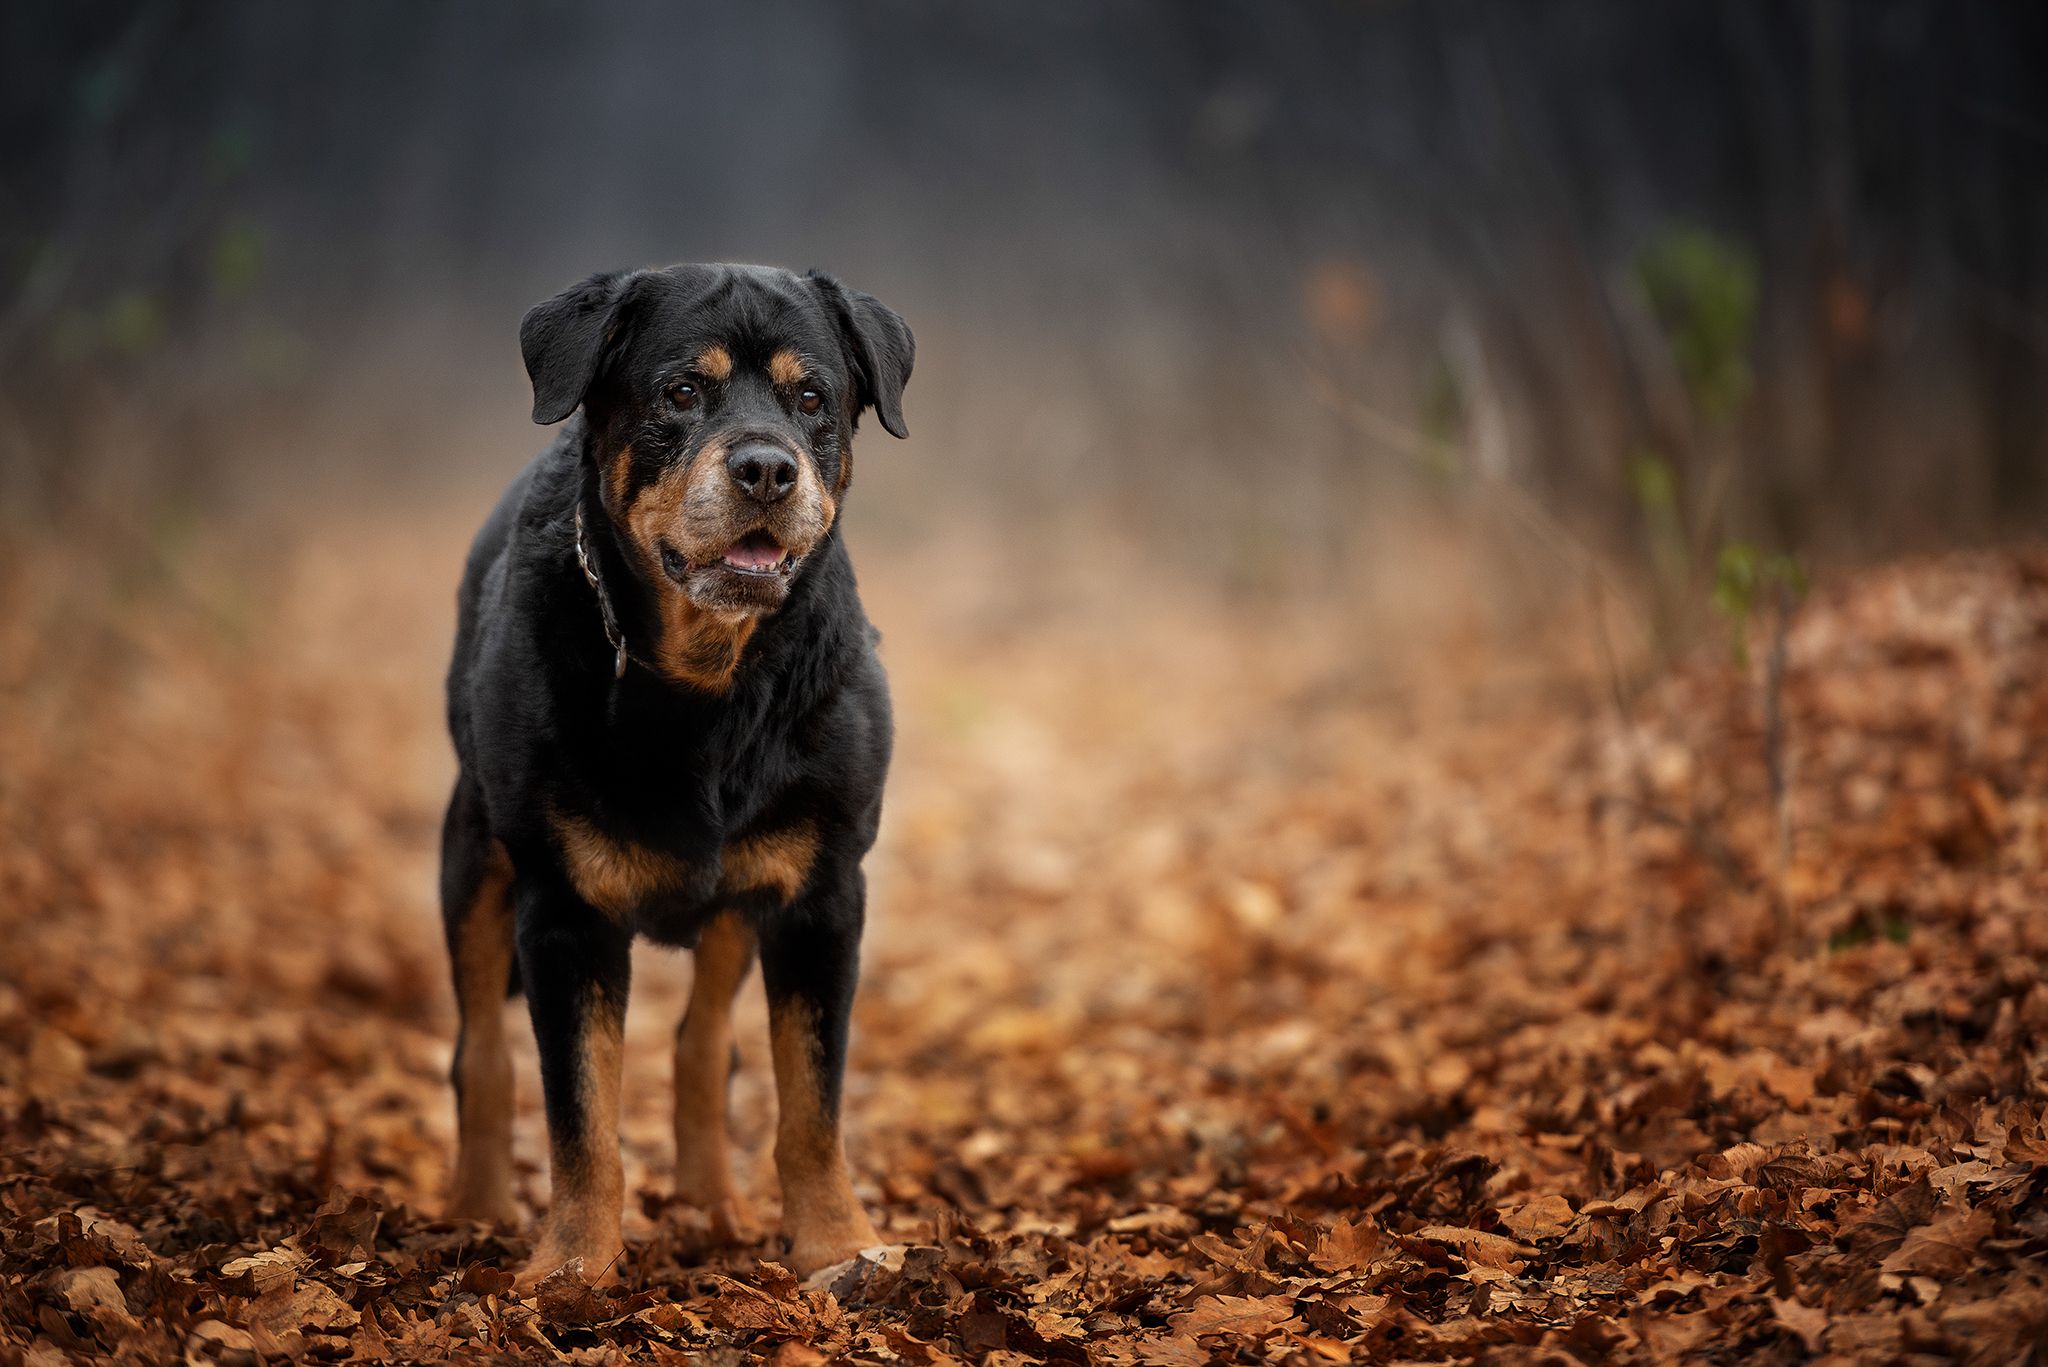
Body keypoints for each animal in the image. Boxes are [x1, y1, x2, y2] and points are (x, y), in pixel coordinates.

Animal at [444, 264, 917, 1287]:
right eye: (682, 392)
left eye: (811, 399)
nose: (767, 468)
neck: (711, 687)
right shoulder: (565, 908)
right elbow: (581, 1112)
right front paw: (572, 1266)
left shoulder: (824, 895)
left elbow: (811, 1099)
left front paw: (839, 1243)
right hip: (471, 850)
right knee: (481, 1051)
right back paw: (475, 1208)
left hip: (740, 893)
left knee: (704, 1046)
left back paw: (711, 1202)